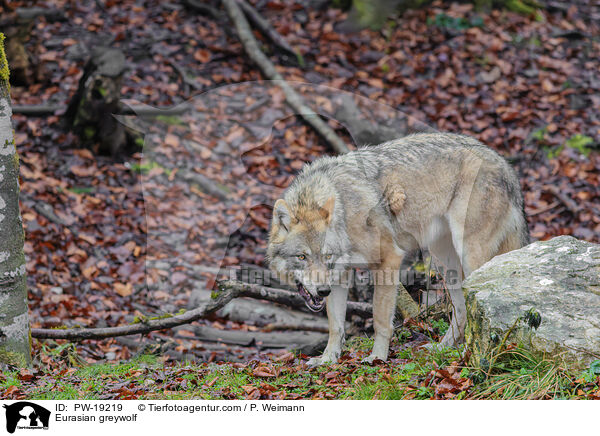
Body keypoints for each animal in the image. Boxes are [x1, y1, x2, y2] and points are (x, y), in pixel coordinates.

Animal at [264, 132, 528, 364]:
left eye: (326, 255)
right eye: (302, 257)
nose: (322, 290)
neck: (345, 213)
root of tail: (505, 164)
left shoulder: (388, 259)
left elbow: (380, 319)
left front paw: (377, 357)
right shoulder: (339, 276)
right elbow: (335, 325)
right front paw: (327, 359)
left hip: (469, 255)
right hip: (444, 262)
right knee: (462, 310)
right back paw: (443, 349)